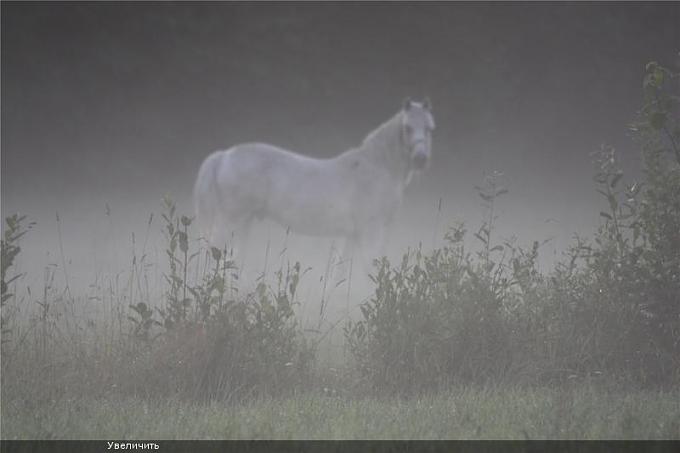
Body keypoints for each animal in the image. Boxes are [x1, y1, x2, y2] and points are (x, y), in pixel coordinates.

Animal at [193, 97, 436, 270]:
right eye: (407, 127)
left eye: (430, 128)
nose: (421, 159)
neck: (378, 167)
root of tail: (224, 156)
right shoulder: (371, 232)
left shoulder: (352, 235)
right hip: (229, 221)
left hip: (244, 224)